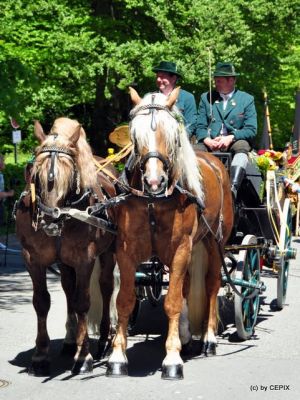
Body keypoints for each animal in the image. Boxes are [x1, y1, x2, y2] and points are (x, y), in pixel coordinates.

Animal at [14, 117, 116, 376]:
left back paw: (103, 340)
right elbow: (41, 302)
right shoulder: (32, 258)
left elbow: (83, 302)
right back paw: (71, 340)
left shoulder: (85, 259)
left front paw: (84, 355)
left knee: (106, 287)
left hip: (109, 252)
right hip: (64, 261)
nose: (51, 220)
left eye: (70, 173)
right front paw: (40, 355)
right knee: (68, 288)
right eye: (35, 172)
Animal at [105, 87, 234, 378]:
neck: (153, 201)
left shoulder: (180, 249)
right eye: (134, 136)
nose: (155, 181)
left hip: (215, 242)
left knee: (212, 284)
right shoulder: (126, 251)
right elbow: (125, 300)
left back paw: (208, 339)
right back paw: (186, 336)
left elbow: (173, 301)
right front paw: (117, 357)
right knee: (186, 284)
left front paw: (172, 359)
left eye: (174, 135)